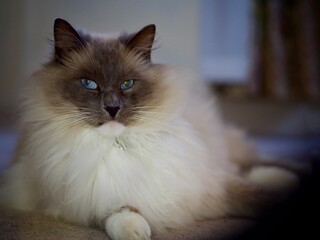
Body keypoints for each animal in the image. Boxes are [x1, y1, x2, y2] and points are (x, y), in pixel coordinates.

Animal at [0, 18, 298, 240]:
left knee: (245, 166)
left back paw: (286, 177)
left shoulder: (205, 183)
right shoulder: (75, 196)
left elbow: (254, 195)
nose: (112, 108)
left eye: (127, 84)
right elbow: (117, 210)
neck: (118, 146)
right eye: (89, 84)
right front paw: (135, 230)